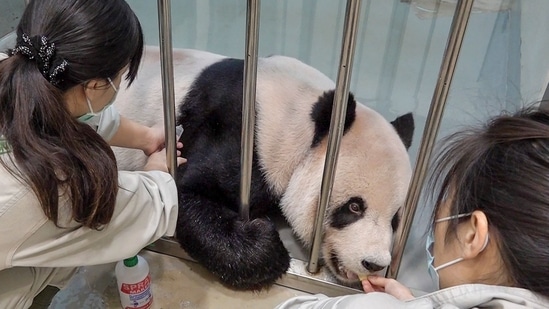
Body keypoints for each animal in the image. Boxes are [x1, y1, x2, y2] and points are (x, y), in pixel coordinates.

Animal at [116, 45, 416, 288]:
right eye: (354, 207)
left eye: (395, 219)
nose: (374, 263)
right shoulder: (241, 135)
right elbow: (183, 191)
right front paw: (266, 241)